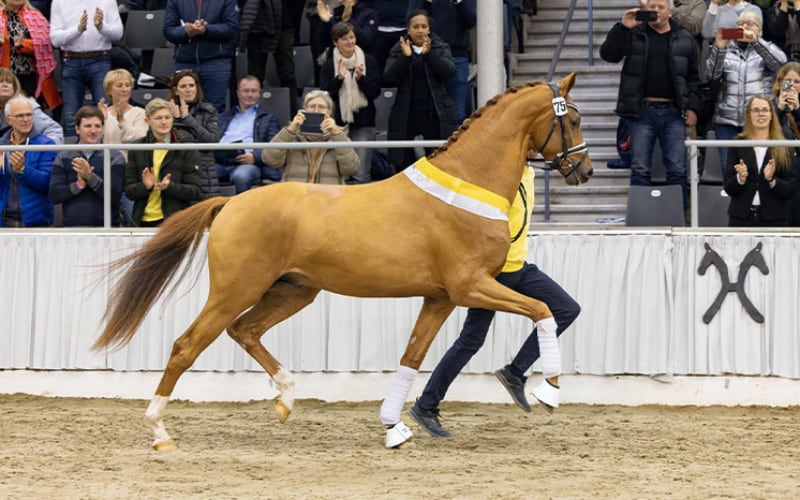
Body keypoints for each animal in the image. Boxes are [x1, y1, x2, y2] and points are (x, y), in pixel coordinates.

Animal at [95, 72, 592, 452]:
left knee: (246, 330)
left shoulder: (441, 298)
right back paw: (160, 432)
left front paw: (394, 428)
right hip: (235, 289)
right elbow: (543, 311)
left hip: (294, 291)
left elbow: (412, 356)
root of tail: (230, 203)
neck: (466, 185)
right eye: (574, 120)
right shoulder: (471, 285)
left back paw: (286, 399)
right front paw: (547, 391)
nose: (584, 170)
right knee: (187, 345)